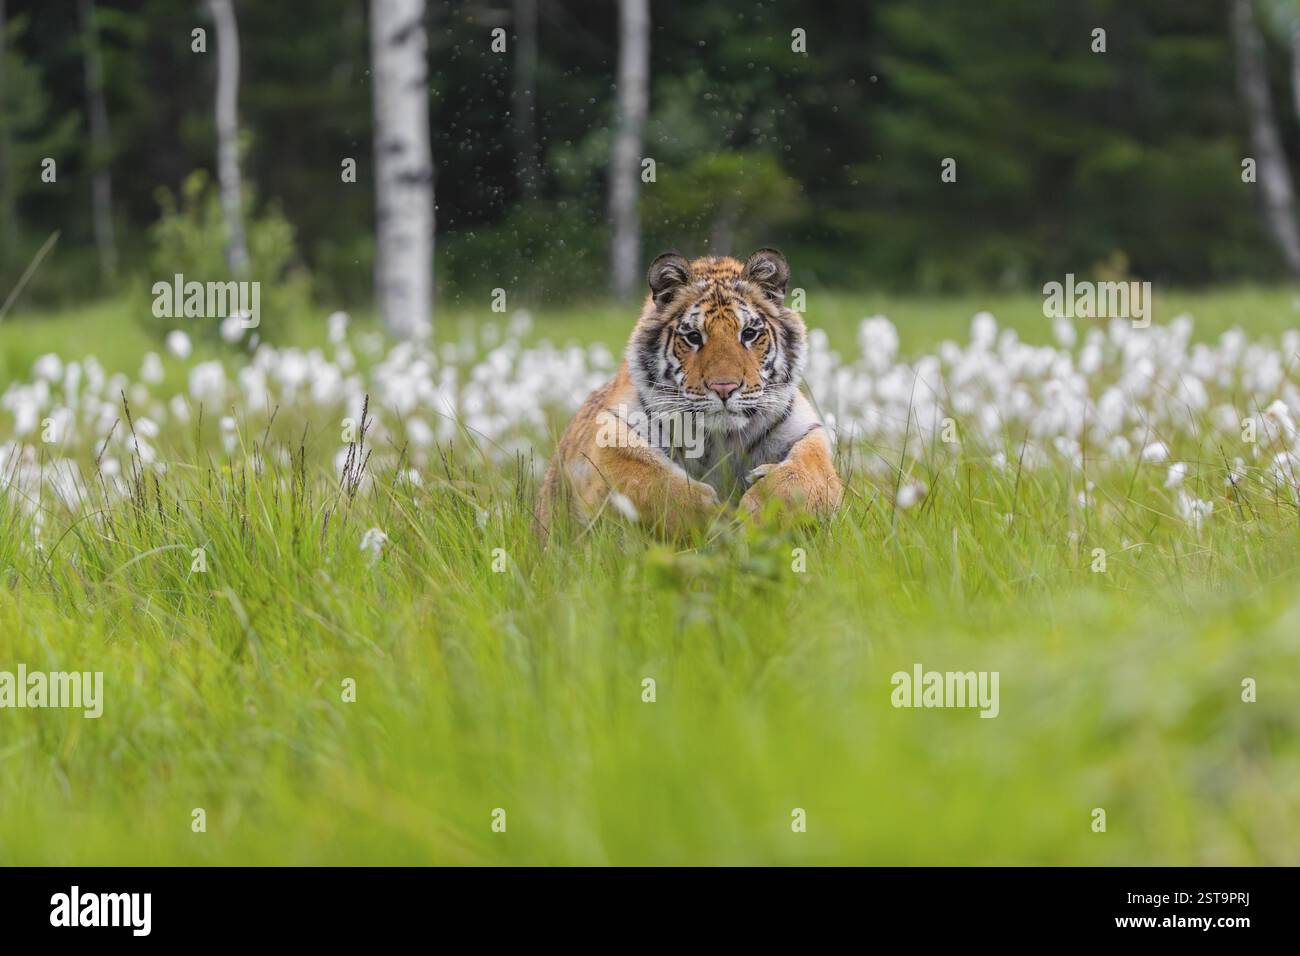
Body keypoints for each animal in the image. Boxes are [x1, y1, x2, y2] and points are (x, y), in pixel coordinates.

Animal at [537, 248, 842, 536]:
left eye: (749, 334)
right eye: (694, 337)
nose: (724, 388)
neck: (721, 439)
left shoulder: (808, 432)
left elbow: (805, 474)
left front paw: (757, 512)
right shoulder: (610, 434)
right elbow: (647, 480)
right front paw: (713, 518)